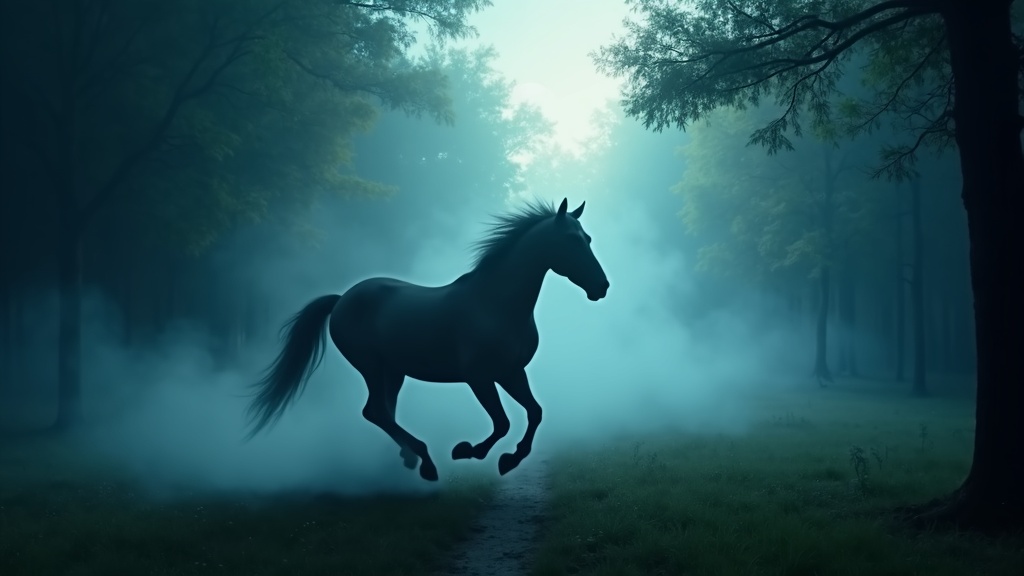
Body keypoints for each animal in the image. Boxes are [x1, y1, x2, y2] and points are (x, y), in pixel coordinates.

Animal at [243, 198, 609, 481]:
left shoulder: (511, 372)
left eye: (588, 238)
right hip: (371, 366)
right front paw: (468, 451)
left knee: (384, 412)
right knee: (376, 412)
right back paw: (426, 462)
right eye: (571, 240)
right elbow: (503, 422)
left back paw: (410, 458)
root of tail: (342, 299)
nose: (601, 287)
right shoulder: (480, 377)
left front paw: (510, 459)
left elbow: (535, 412)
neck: (495, 304)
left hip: (393, 371)